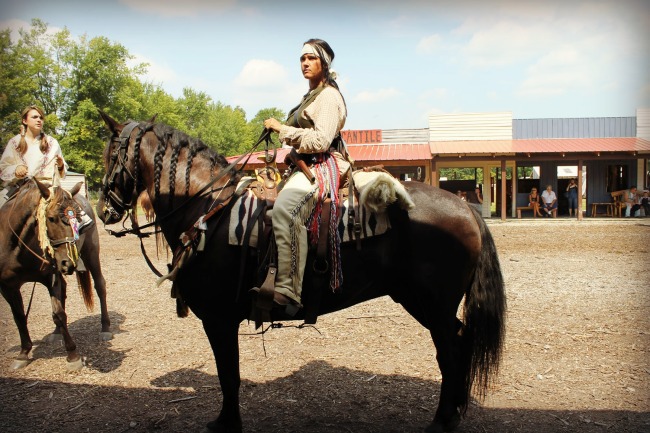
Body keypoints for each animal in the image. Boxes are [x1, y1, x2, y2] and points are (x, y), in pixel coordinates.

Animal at [0, 177, 111, 370]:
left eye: (77, 219)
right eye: (50, 218)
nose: (68, 262)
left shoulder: (50, 277)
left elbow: (58, 313)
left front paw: (73, 356)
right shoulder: (7, 286)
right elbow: (19, 317)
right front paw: (23, 353)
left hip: (91, 252)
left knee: (100, 285)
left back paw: (105, 328)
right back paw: (56, 332)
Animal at [96, 112, 504, 432]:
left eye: (111, 155)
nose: (104, 211)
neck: (210, 210)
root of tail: (466, 209)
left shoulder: (218, 319)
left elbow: (229, 374)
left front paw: (227, 423)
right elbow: (229, 374)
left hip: (431, 305)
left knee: (450, 351)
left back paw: (441, 419)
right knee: (460, 343)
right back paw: (454, 412)